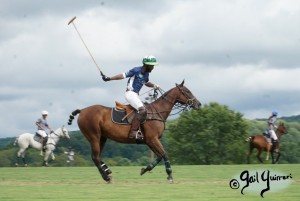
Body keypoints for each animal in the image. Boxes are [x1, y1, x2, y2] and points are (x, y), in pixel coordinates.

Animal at [68, 80, 202, 182]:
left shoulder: (149, 141)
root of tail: (82, 111)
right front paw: (169, 175)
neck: (157, 111)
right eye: (187, 91)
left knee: (97, 156)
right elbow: (164, 154)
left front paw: (144, 170)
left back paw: (107, 171)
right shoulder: (153, 139)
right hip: (93, 136)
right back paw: (106, 177)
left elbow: (159, 156)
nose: (198, 104)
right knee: (95, 157)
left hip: (102, 137)